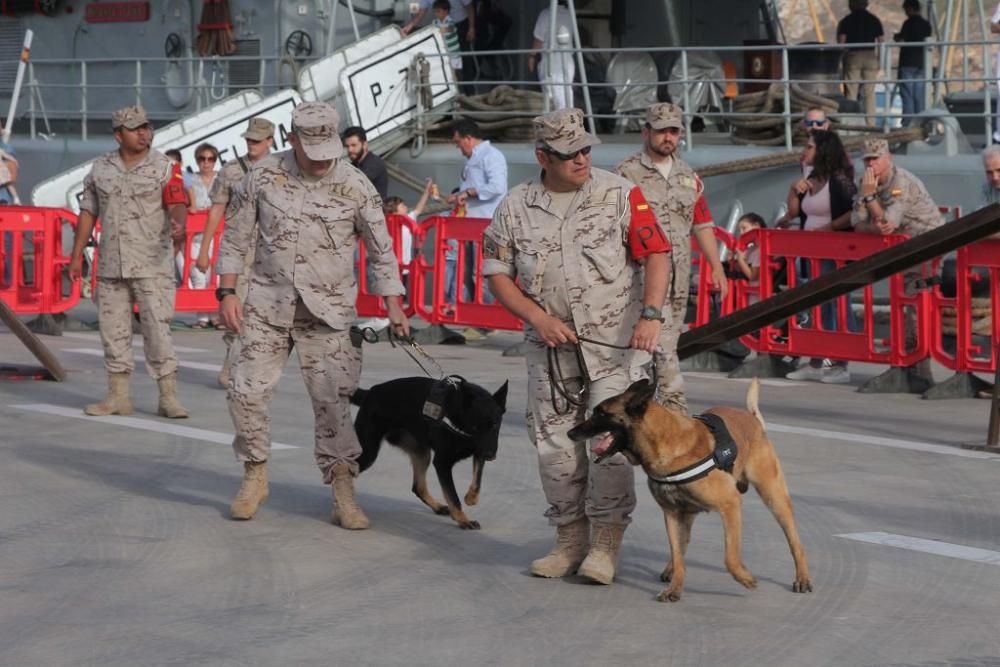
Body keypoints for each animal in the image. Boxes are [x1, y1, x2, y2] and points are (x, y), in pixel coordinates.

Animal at [350, 378, 508, 528]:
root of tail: (370, 391)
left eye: (495, 424)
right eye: (475, 427)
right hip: (368, 453)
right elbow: (453, 496)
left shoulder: (479, 452)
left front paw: (471, 498)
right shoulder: (443, 463)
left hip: (422, 454)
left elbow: (477, 480)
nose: (490, 455)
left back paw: (438, 507)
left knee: (418, 487)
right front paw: (463, 520)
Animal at [568, 378, 808, 604]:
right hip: (689, 513)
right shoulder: (672, 514)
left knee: (796, 543)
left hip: (775, 498)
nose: (570, 432)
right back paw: (670, 570)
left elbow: (730, 557)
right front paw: (674, 589)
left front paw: (745, 577)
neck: (665, 443)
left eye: (601, 413)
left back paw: (803, 579)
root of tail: (753, 420)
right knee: (682, 548)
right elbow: (677, 554)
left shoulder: (730, 505)